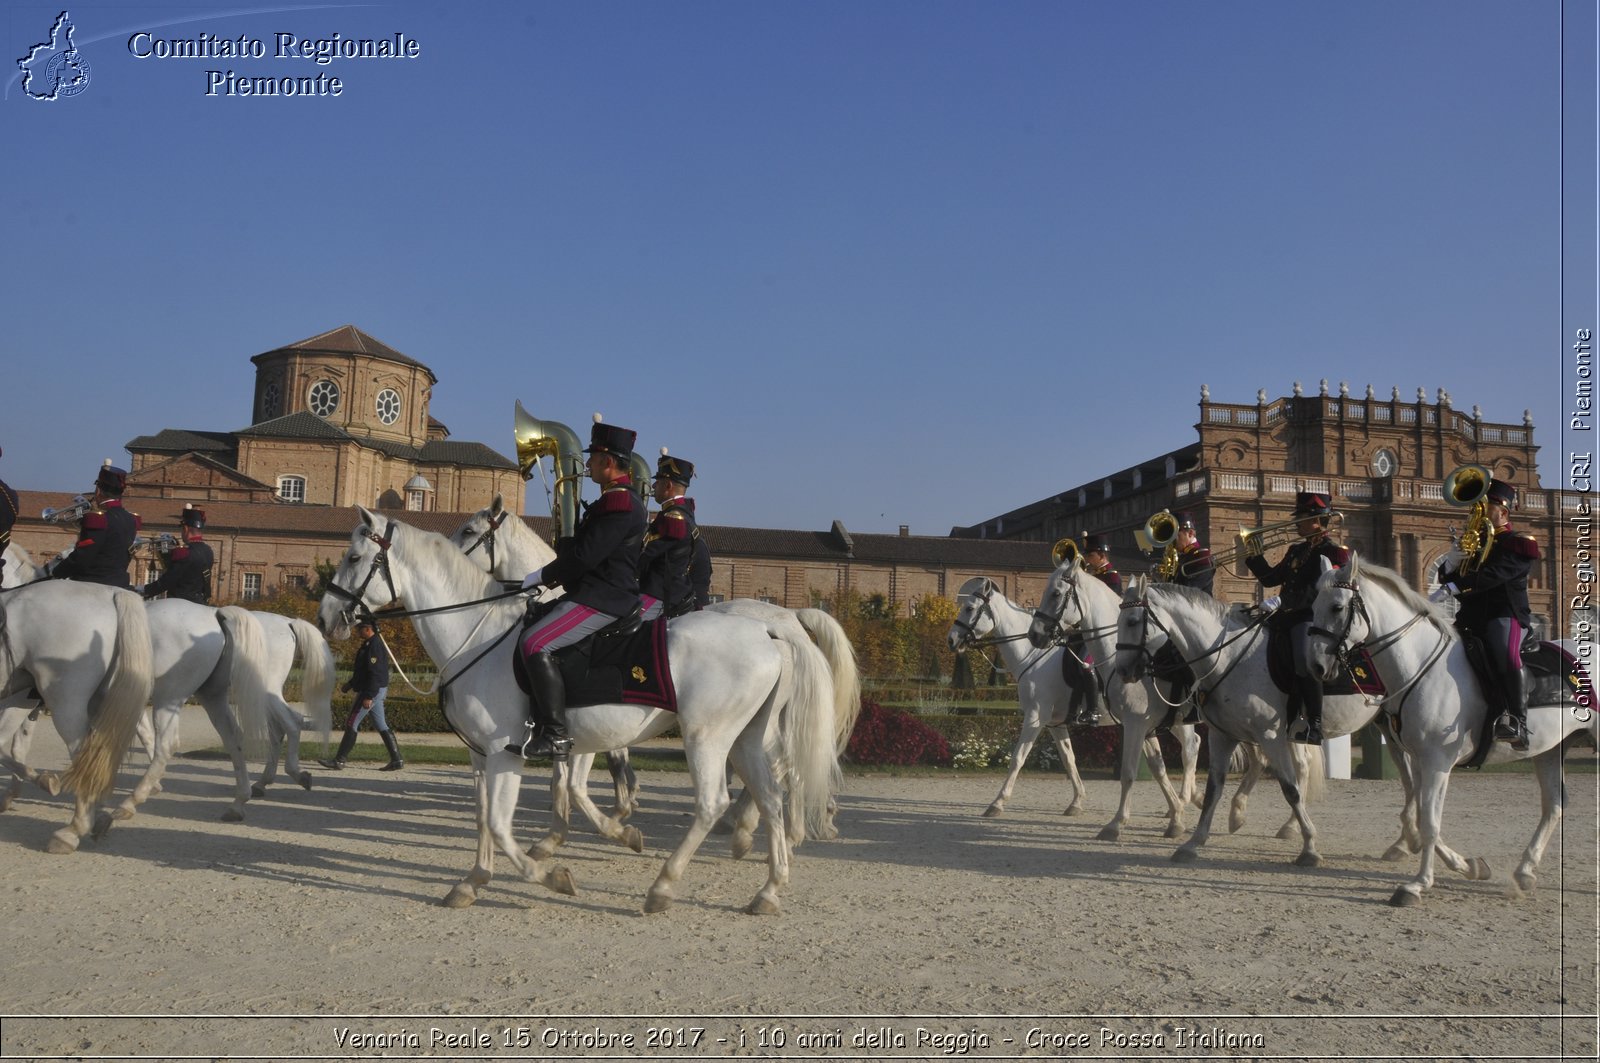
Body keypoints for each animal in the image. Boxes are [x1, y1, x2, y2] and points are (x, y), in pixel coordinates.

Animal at [315, 509, 838, 915]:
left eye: (355, 558)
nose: (326, 617)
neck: (478, 635)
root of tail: (770, 628)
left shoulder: (508, 752)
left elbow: (508, 821)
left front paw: (553, 872)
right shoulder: (485, 755)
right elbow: (490, 817)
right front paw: (474, 880)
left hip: (708, 738)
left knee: (717, 802)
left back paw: (665, 886)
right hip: (745, 739)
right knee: (769, 795)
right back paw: (768, 886)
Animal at [1113, 576, 1337, 870]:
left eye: (1132, 621)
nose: (1123, 672)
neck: (1230, 656)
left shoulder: (1270, 735)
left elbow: (1290, 789)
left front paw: (1309, 847)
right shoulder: (1223, 734)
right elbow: (1212, 789)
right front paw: (1192, 842)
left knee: (1299, 769)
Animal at [1312, 557, 1600, 902]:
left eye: (1337, 607)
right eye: (1313, 606)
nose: (1316, 666)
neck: (1421, 665)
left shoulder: (1437, 761)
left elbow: (1429, 822)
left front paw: (1418, 884)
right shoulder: (1420, 760)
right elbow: (1424, 817)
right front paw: (1468, 865)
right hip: (1550, 749)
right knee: (1553, 805)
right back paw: (1525, 871)